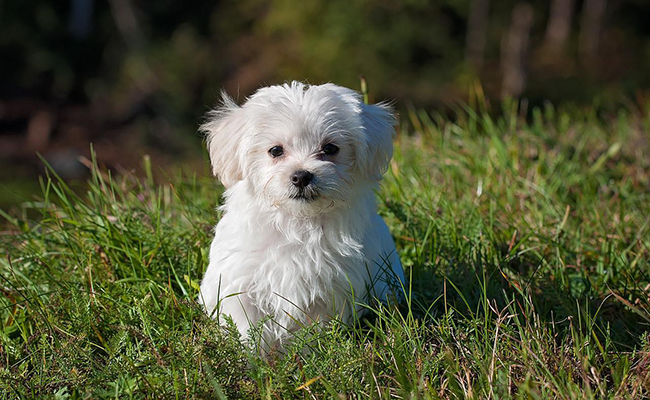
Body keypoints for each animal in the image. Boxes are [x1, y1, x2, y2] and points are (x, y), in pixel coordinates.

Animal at [199, 82, 400, 350]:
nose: (302, 176)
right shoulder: (240, 283)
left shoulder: (330, 289)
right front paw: (251, 357)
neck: (297, 222)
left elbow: (314, 330)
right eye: (275, 151)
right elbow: (247, 327)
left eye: (330, 148)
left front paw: (308, 353)